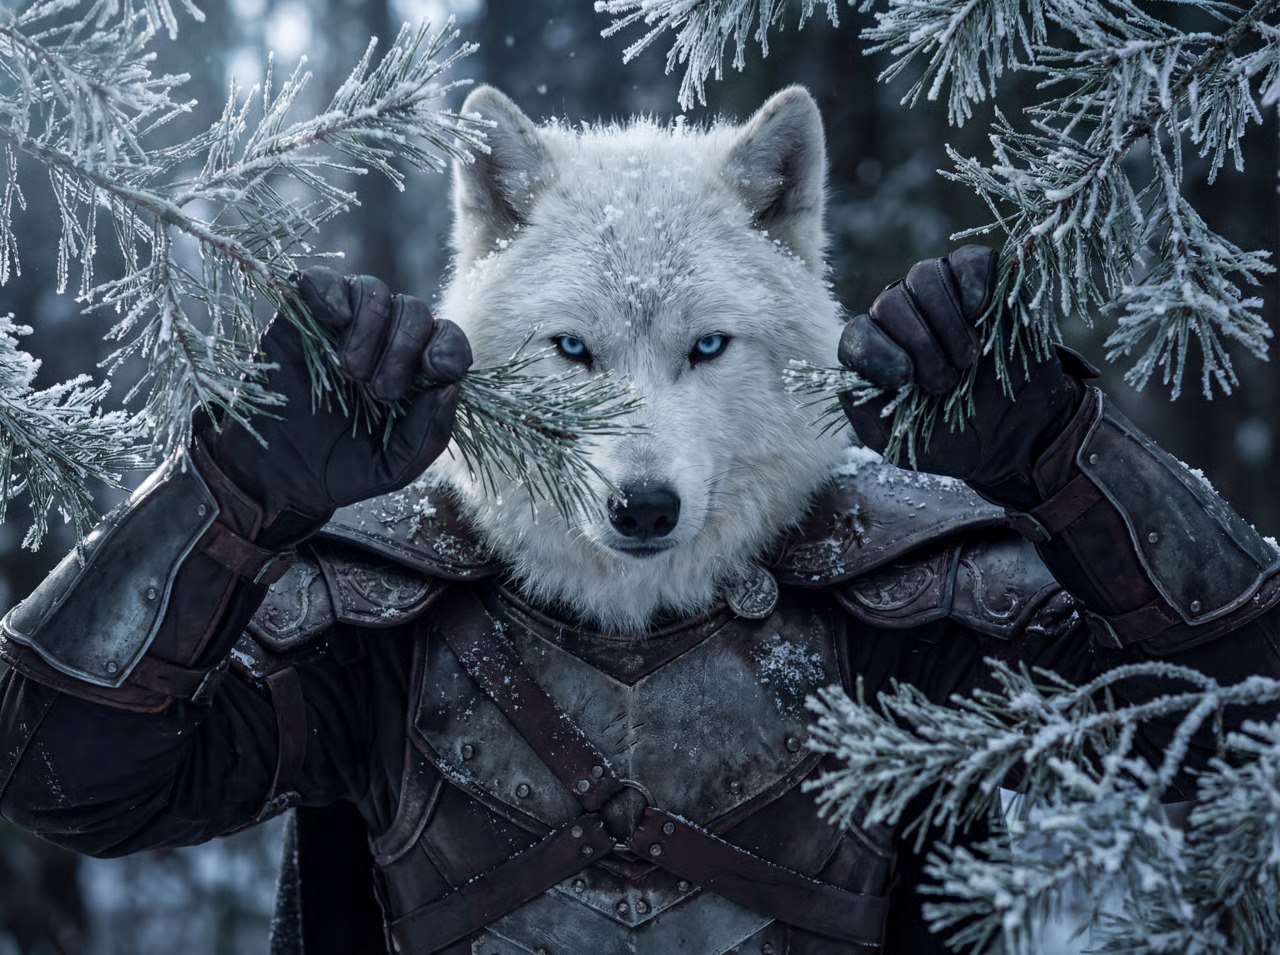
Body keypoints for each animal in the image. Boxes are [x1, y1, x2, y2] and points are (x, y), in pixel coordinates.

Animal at [3, 83, 1280, 955]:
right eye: (571, 349)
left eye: (706, 346)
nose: (643, 503)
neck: (631, 619)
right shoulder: (313, 648)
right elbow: (91, 746)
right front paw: (302, 422)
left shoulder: (972, 627)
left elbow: (1200, 691)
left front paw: (1002, 388)